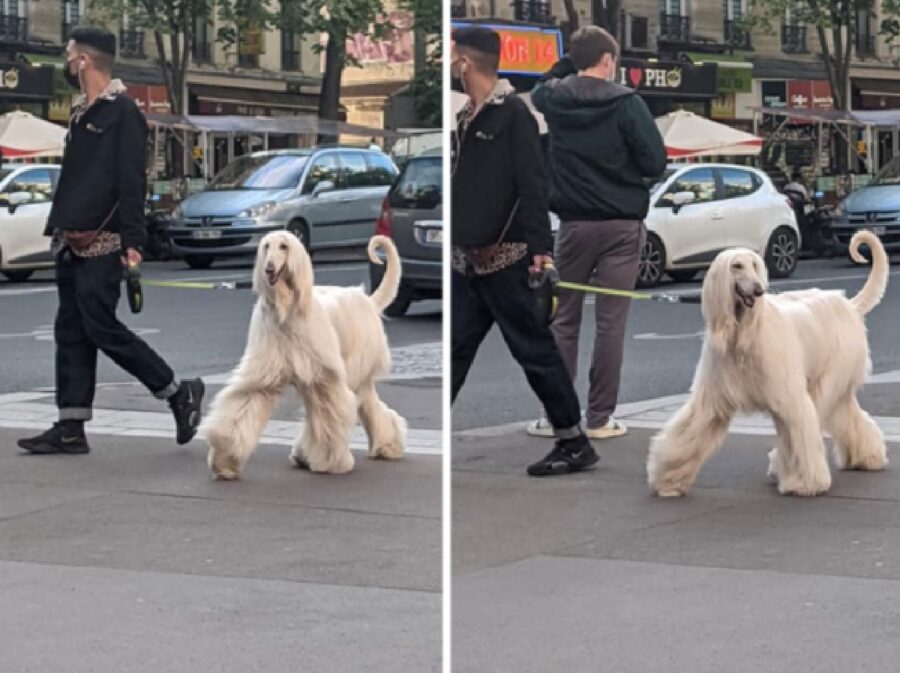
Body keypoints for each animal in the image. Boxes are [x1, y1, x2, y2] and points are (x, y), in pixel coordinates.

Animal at [204, 231, 408, 478]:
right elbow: (244, 403)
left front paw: (330, 462)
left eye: (284, 246)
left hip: (355, 365)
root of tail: (367, 300)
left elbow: (329, 414)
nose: (269, 269)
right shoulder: (266, 372)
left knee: (365, 402)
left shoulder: (324, 376)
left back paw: (387, 446)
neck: (287, 312)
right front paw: (225, 459)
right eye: (266, 246)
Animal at [648, 234, 884, 496]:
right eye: (737, 265)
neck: (742, 332)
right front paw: (669, 480)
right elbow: (689, 431)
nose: (759, 290)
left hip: (829, 375)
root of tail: (849, 305)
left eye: (755, 265)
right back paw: (867, 456)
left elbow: (801, 431)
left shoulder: (788, 394)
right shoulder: (713, 397)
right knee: (848, 414)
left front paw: (806, 483)